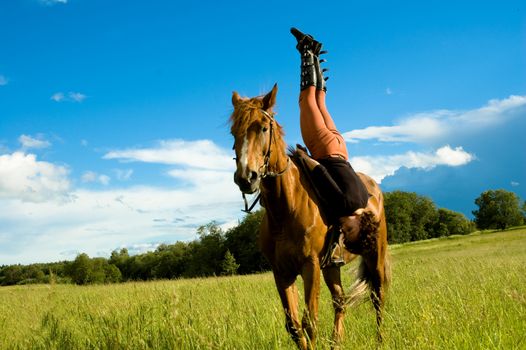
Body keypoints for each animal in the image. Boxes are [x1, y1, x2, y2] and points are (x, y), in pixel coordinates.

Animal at [231, 84, 392, 348]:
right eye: (234, 132)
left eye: (263, 128)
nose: (247, 177)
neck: (285, 209)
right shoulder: (282, 272)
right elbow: (294, 326)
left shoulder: (311, 266)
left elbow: (310, 323)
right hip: (332, 267)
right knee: (340, 300)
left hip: (374, 254)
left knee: (378, 296)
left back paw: (380, 341)